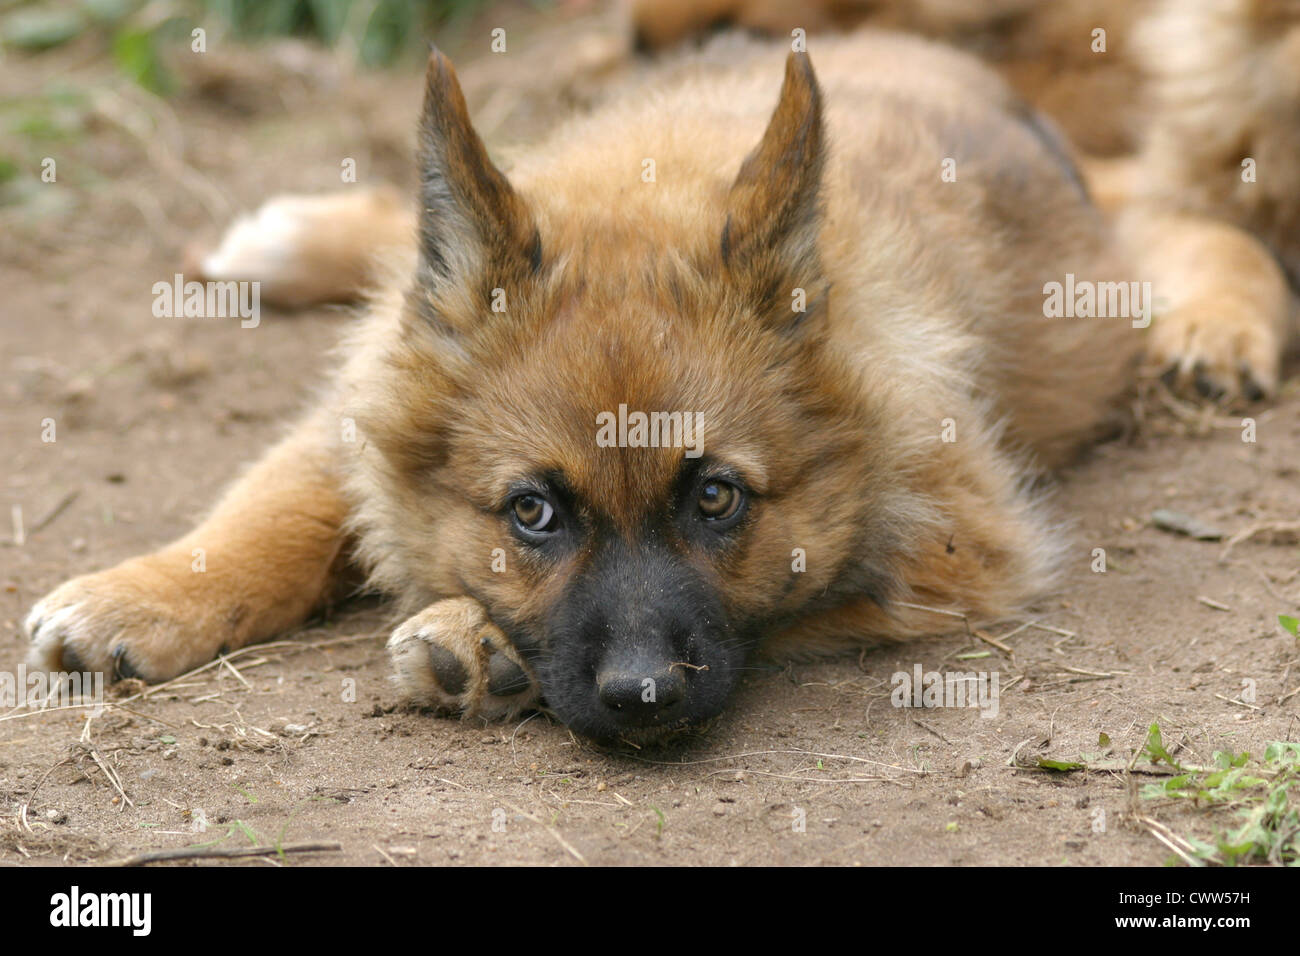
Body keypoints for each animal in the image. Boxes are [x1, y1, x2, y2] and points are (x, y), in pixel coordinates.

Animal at [22, 29, 1289, 743]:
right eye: (533, 511)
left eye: (716, 497)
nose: (641, 702)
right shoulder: (374, 391)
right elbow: (277, 505)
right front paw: (148, 591)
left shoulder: (959, 554)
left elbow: (792, 603)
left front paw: (474, 640)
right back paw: (288, 242)